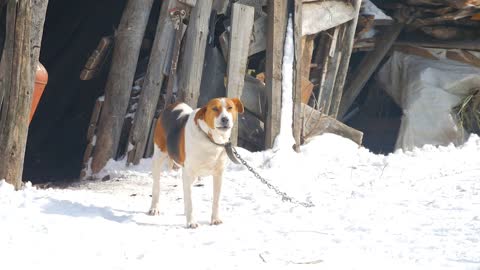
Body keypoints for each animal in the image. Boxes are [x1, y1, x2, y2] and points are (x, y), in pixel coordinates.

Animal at [148, 97, 246, 228]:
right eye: (214, 108)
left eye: (230, 107)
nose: (225, 119)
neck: (211, 140)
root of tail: (172, 106)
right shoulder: (188, 173)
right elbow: (190, 202)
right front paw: (191, 222)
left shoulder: (218, 175)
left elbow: (216, 200)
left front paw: (215, 219)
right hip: (158, 158)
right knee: (156, 187)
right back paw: (154, 208)